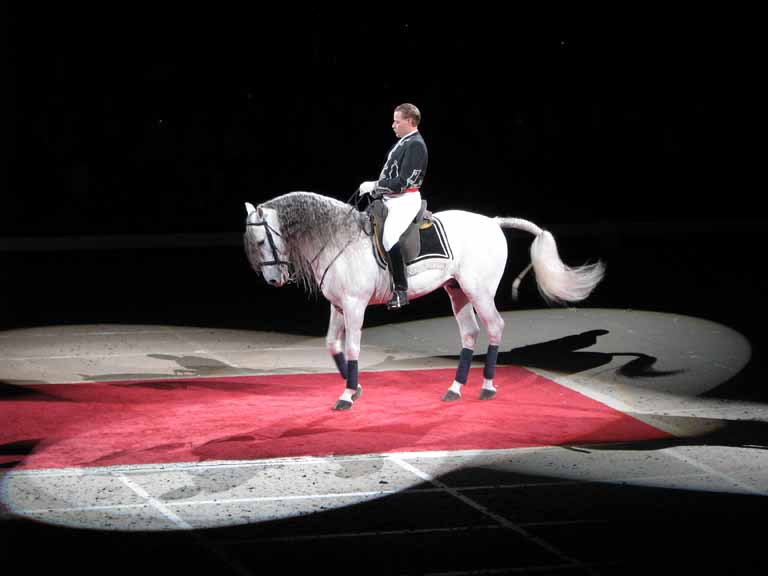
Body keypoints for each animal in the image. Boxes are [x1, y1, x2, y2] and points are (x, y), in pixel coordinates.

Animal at [243, 192, 604, 410]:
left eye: (261, 241)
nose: (273, 280)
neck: (339, 241)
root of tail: (492, 222)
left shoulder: (355, 305)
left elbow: (353, 347)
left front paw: (347, 394)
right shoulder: (338, 305)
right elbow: (333, 345)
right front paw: (354, 388)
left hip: (479, 291)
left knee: (495, 327)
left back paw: (487, 387)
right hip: (457, 291)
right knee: (470, 333)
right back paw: (455, 388)